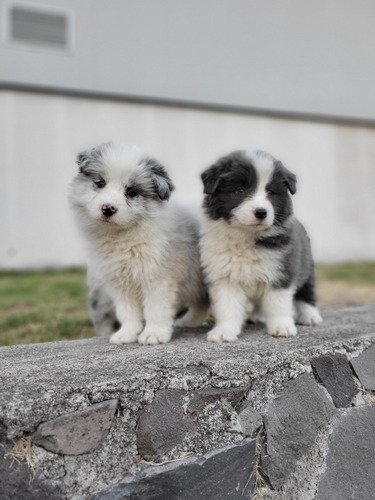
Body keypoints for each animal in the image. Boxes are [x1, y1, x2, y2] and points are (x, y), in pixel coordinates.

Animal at [70, 141, 209, 344]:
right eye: (100, 183)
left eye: (131, 191)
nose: (108, 208)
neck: (122, 237)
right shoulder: (120, 282)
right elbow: (127, 312)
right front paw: (126, 334)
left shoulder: (158, 279)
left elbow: (155, 310)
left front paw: (153, 334)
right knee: (201, 304)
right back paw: (189, 322)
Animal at [200, 150, 324, 342]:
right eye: (240, 190)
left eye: (271, 192)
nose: (261, 212)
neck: (246, 236)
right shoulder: (224, 277)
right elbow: (228, 307)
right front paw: (224, 331)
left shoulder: (281, 270)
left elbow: (277, 303)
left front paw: (282, 327)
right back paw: (257, 316)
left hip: (307, 267)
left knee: (306, 292)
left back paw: (310, 316)